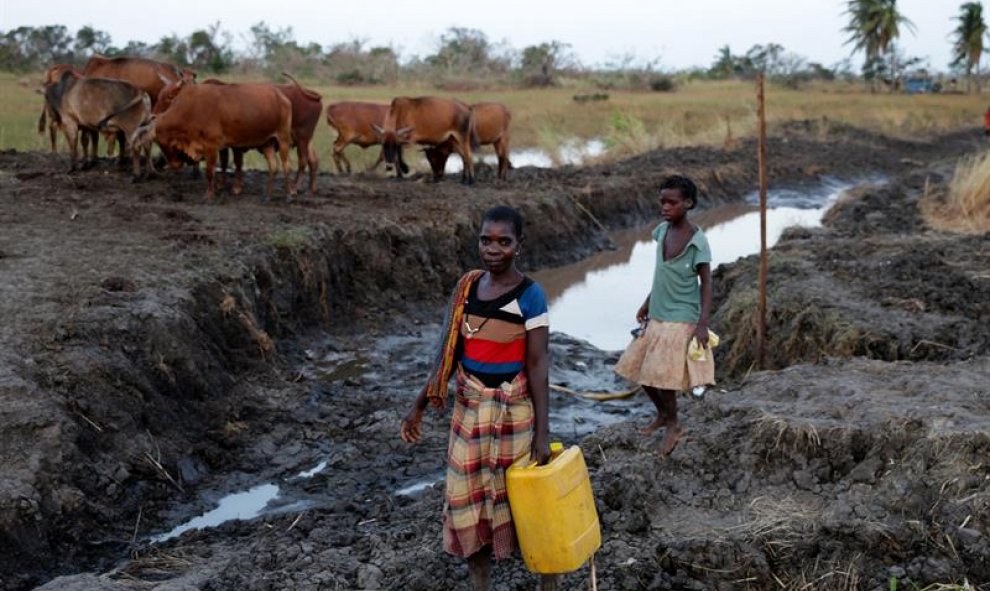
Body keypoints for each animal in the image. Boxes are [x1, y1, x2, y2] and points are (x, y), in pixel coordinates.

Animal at [132, 81, 294, 201]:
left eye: (159, 140)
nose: (175, 164)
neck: (191, 108)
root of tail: (282, 97)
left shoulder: (212, 146)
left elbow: (210, 171)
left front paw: (209, 195)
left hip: (283, 140)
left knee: (286, 165)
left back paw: (288, 195)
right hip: (267, 144)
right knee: (273, 167)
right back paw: (268, 196)